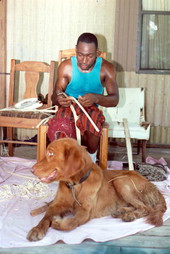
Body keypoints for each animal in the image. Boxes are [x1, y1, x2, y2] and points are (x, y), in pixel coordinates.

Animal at [27, 138, 167, 241]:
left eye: (51, 153)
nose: (31, 170)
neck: (75, 186)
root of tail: (152, 185)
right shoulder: (57, 205)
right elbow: (46, 216)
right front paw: (36, 229)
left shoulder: (85, 211)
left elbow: (71, 223)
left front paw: (57, 223)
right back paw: (121, 211)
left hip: (121, 180)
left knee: (146, 208)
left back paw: (130, 215)